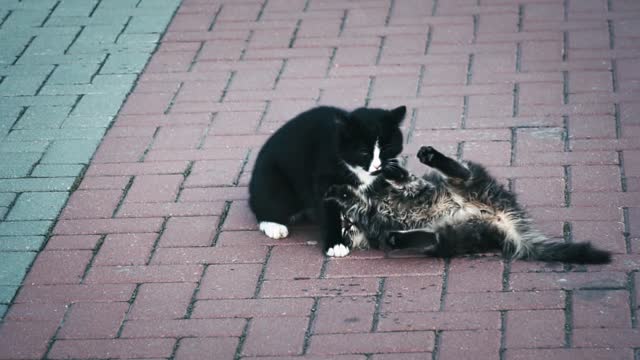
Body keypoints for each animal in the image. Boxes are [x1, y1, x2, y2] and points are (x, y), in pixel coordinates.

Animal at [246, 105, 404, 258]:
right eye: (363, 152)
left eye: (387, 149)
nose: (377, 166)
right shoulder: (324, 182)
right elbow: (330, 214)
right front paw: (336, 244)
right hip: (273, 182)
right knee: (267, 203)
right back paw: (274, 225)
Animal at [328, 146, 612, 264]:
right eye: (345, 227)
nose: (345, 225)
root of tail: (499, 215)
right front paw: (340, 195)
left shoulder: (417, 187)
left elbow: (406, 181)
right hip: (458, 235)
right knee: (432, 239)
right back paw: (395, 238)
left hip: (467, 184)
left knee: (460, 171)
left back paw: (430, 156)